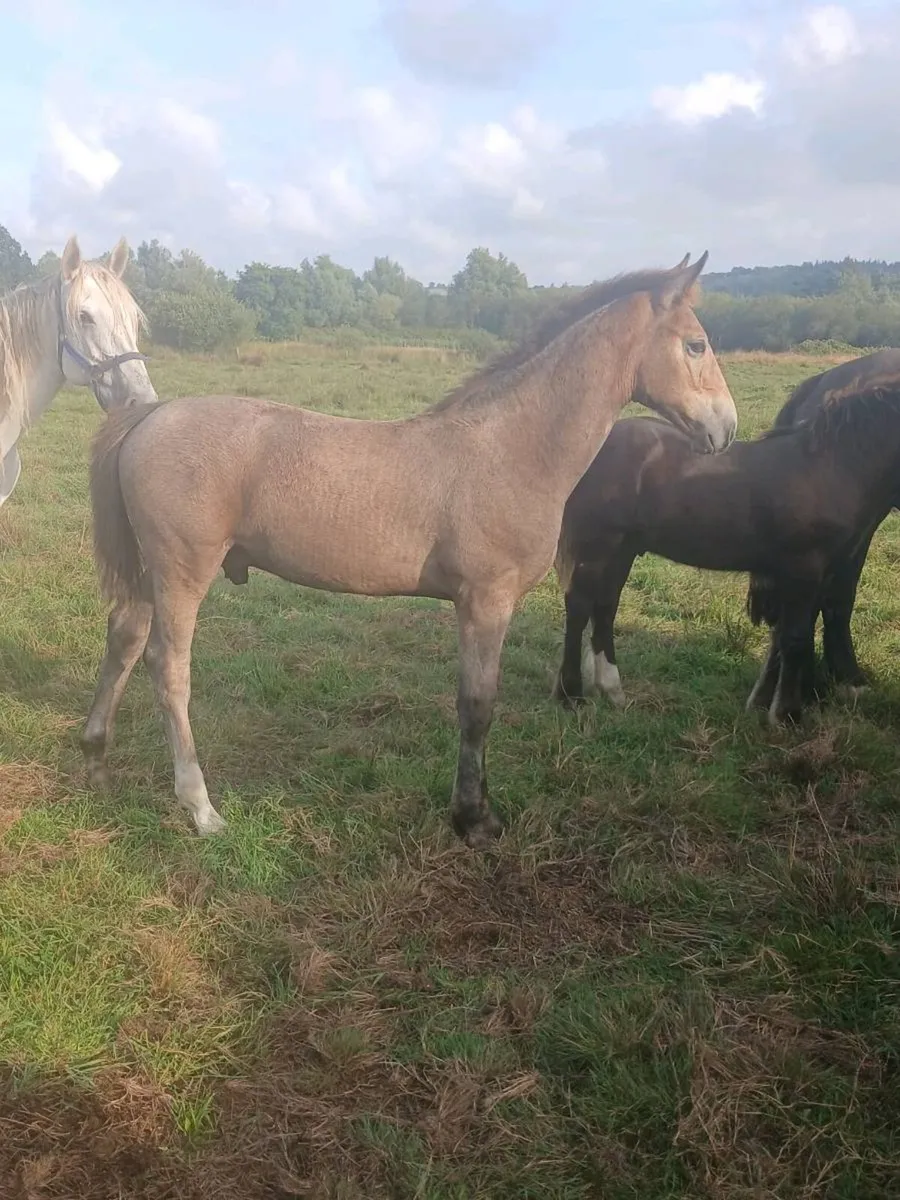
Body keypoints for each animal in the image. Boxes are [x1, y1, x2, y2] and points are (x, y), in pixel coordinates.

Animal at [79, 252, 737, 846]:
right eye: (697, 344)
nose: (725, 429)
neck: (510, 448)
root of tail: (150, 415)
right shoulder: (485, 602)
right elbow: (478, 705)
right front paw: (474, 819)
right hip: (182, 571)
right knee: (168, 668)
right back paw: (200, 807)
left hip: (150, 574)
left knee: (124, 640)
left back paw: (95, 758)